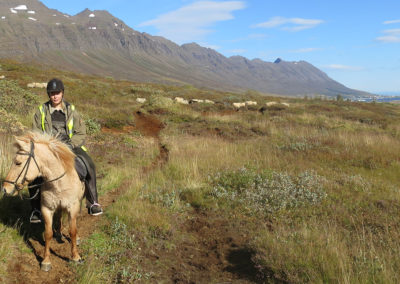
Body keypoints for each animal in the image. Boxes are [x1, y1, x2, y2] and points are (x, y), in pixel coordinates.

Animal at [1, 132, 84, 272]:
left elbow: (72, 231)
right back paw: (59, 235)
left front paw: (75, 257)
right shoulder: (47, 209)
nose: (5, 189)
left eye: (18, 163)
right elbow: (48, 234)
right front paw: (46, 261)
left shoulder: (72, 207)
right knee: (59, 217)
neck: (59, 183)